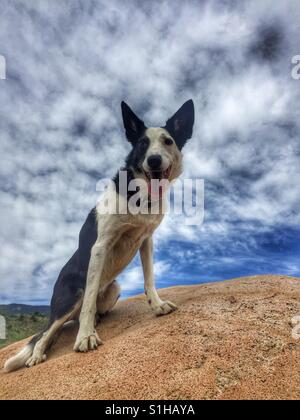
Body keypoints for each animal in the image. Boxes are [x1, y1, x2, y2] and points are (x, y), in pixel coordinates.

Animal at [5, 100, 197, 372]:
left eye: (168, 141)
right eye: (142, 144)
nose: (154, 160)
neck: (141, 196)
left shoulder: (146, 240)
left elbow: (149, 279)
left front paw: (157, 305)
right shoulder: (100, 246)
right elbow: (88, 301)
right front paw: (86, 337)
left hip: (115, 288)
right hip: (70, 297)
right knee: (48, 331)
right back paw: (38, 353)